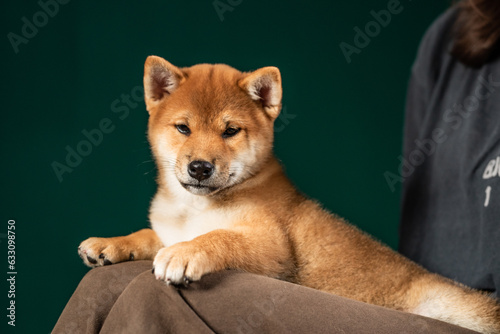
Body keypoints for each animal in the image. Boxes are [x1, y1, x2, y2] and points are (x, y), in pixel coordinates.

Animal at [79, 56, 500, 332]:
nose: (200, 167)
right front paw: (110, 244)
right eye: (183, 128)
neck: (192, 208)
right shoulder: (168, 229)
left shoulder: (273, 247)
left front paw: (185, 253)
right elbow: (147, 235)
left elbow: (219, 237)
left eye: (230, 131)